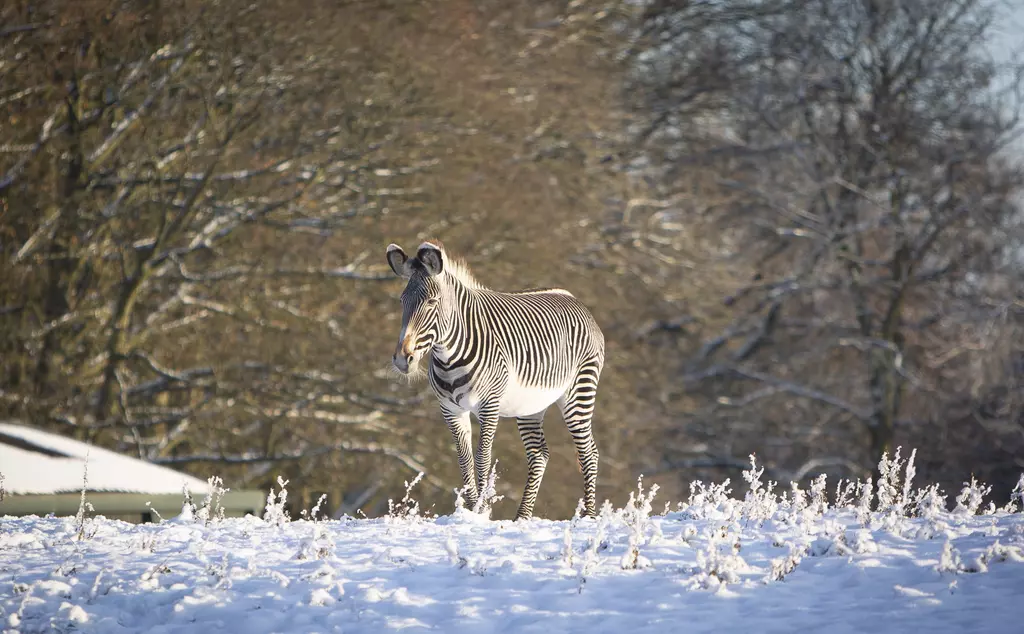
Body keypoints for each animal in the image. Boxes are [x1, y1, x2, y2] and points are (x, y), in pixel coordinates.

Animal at [387, 240, 602, 518]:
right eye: (402, 301)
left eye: (432, 302)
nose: (403, 359)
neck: (449, 357)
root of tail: (572, 298)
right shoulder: (450, 410)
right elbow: (464, 460)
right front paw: (470, 511)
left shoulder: (489, 405)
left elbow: (482, 458)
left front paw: (481, 510)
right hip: (530, 405)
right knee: (539, 455)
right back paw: (521, 518)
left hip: (579, 391)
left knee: (589, 453)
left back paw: (589, 516)